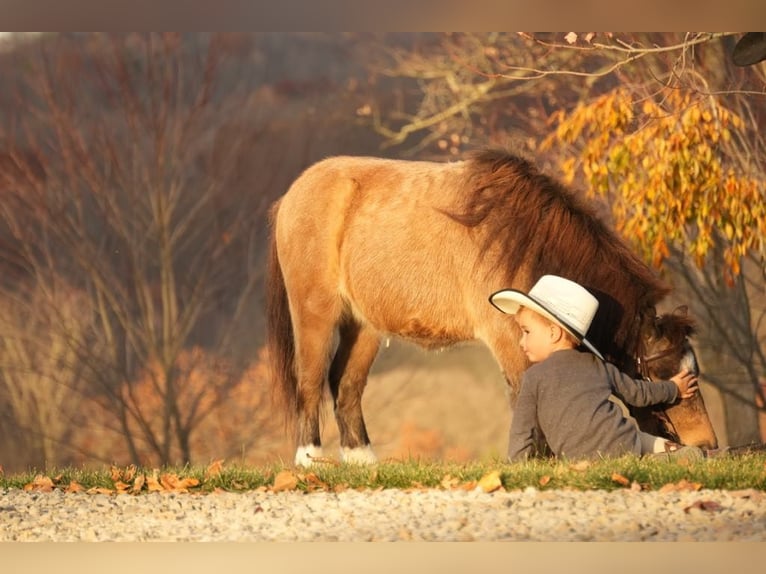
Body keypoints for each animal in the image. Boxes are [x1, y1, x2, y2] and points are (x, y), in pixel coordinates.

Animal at [266, 150, 720, 468]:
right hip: (316, 314)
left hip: (365, 326)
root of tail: (292, 195)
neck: (524, 238)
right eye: (662, 373)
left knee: (345, 386)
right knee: (310, 381)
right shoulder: (509, 336)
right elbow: (523, 391)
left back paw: (362, 461)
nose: (707, 444)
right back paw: (309, 459)